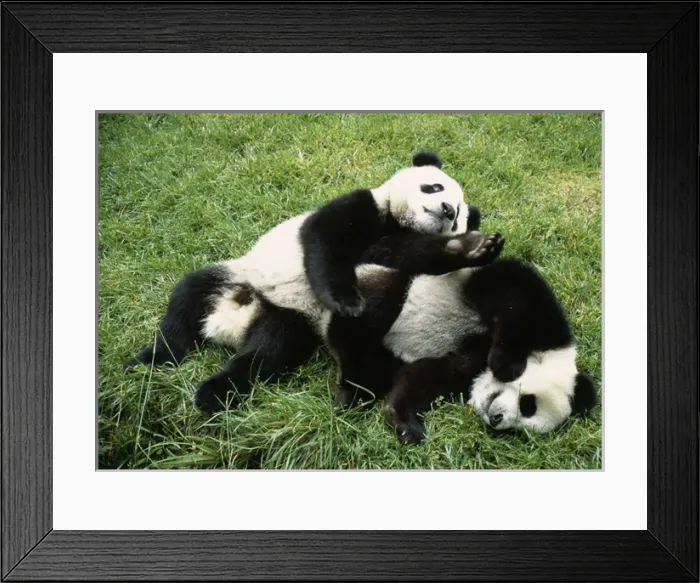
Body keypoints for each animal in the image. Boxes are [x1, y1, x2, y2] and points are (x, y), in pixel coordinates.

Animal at [124, 151, 501, 414]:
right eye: (434, 186)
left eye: (459, 214)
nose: (446, 209)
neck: (399, 222)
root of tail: (230, 323)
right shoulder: (362, 206)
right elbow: (323, 241)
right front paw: (347, 301)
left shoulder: (394, 245)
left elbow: (406, 255)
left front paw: (472, 249)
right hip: (235, 274)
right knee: (185, 304)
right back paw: (150, 362)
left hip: (289, 318)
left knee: (268, 351)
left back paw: (214, 392)